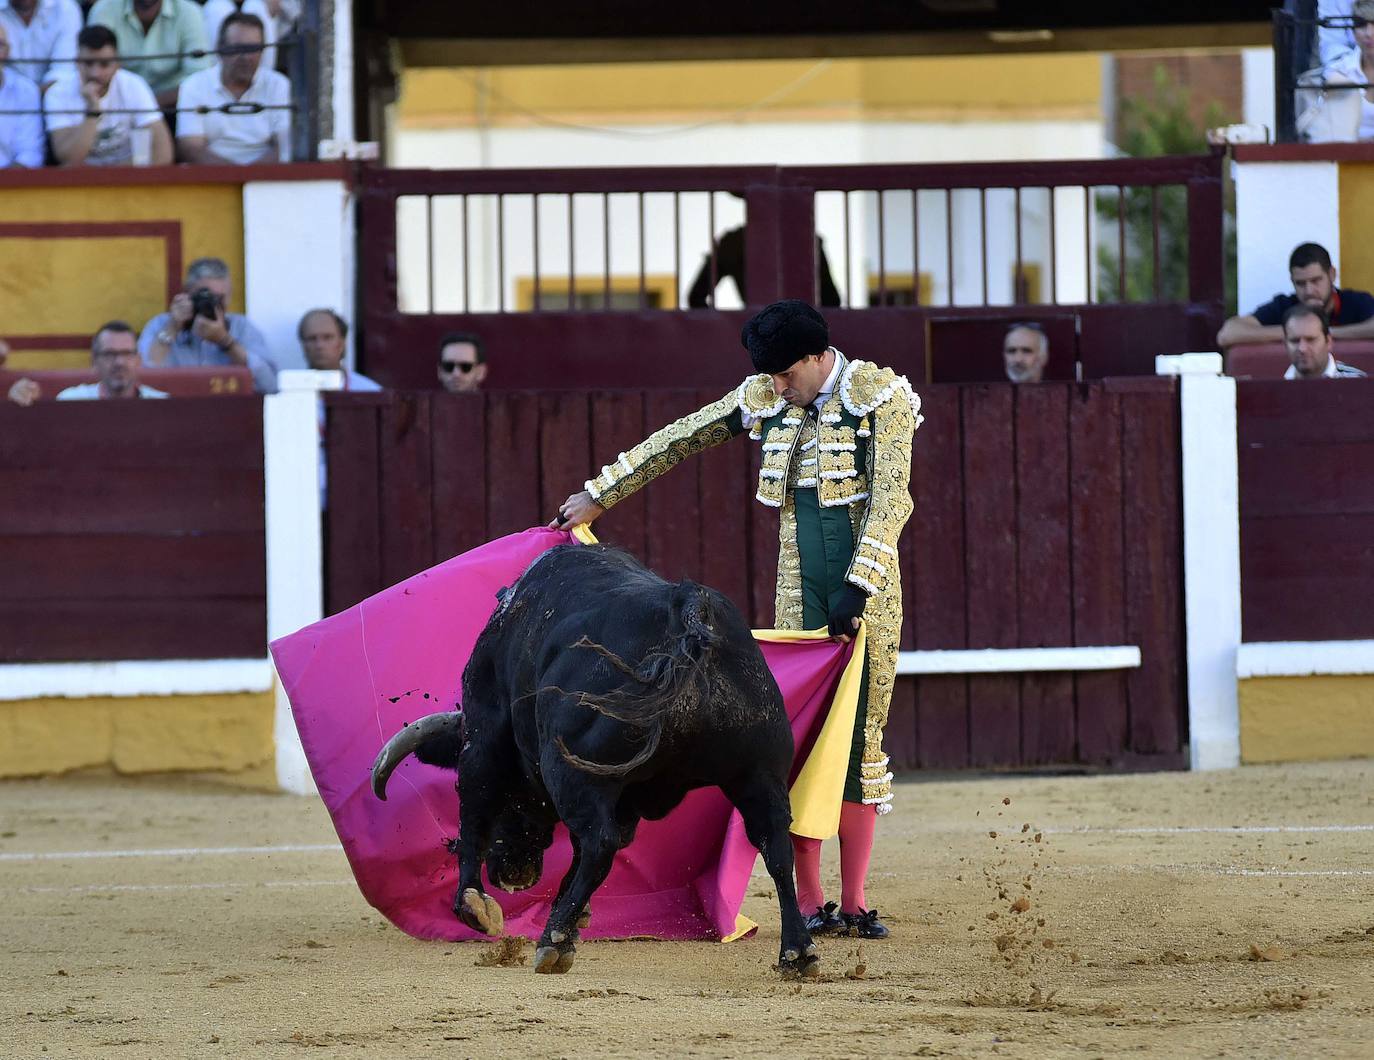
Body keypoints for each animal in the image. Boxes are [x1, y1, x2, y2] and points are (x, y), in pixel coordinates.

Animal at [370, 547, 813, 978]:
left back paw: (553, 940)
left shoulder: (483, 737)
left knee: (600, 843)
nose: (511, 874)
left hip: (572, 771)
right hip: (758, 772)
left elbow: (475, 815)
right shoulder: (624, 799)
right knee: (775, 842)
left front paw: (475, 906)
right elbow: (582, 852)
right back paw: (797, 952)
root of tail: (687, 606)